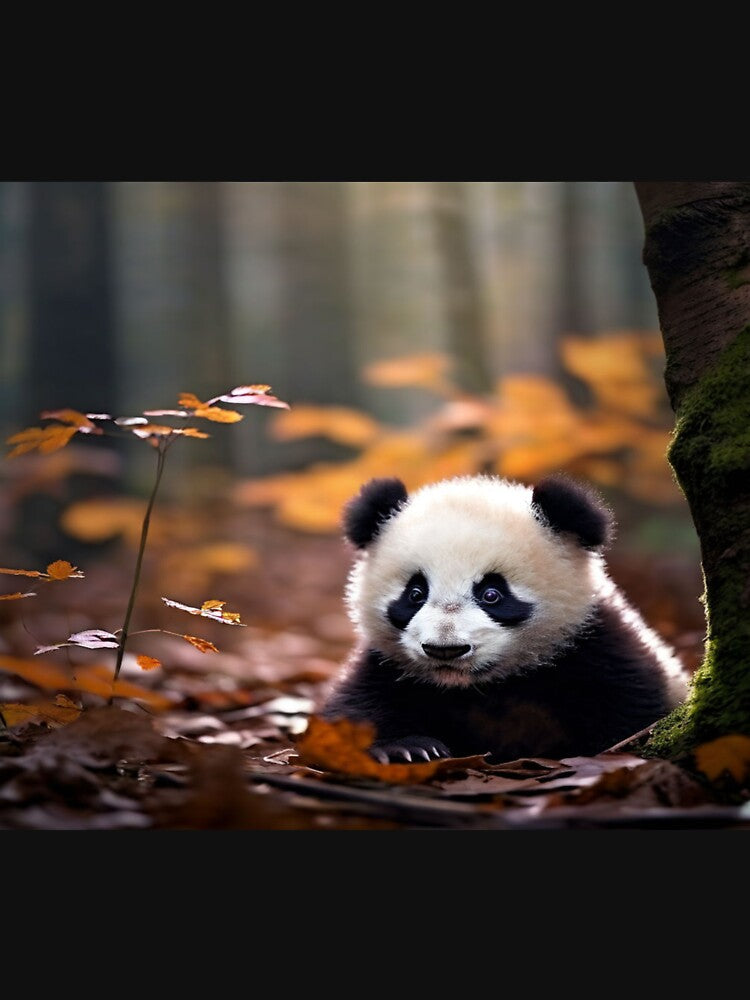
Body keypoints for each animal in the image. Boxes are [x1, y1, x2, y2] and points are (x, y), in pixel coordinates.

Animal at [320, 474, 690, 764]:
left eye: (492, 594)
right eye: (415, 594)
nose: (445, 649)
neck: (480, 687)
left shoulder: (593, 644)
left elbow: (632, 705)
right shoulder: (386, 663)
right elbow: (355, 706)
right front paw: (407, 748)